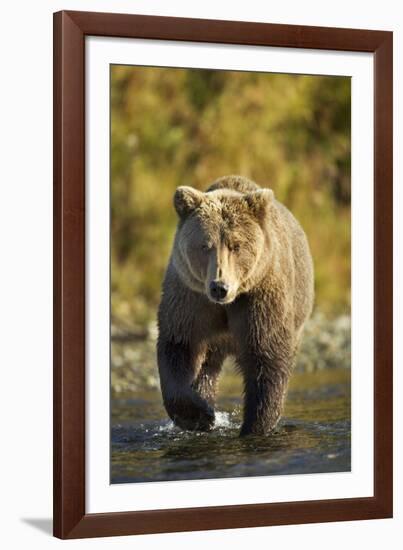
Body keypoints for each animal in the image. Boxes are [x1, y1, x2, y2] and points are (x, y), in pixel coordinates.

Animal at [156, 175, 314, 438]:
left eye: (236, 245)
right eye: (205, 245)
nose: (219, 287)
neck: (227, 304)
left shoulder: (259, 297)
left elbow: (266, 357)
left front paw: (254, 426)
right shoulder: (190, 297)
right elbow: (179, 345)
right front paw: (200, 415)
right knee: (207, 366)